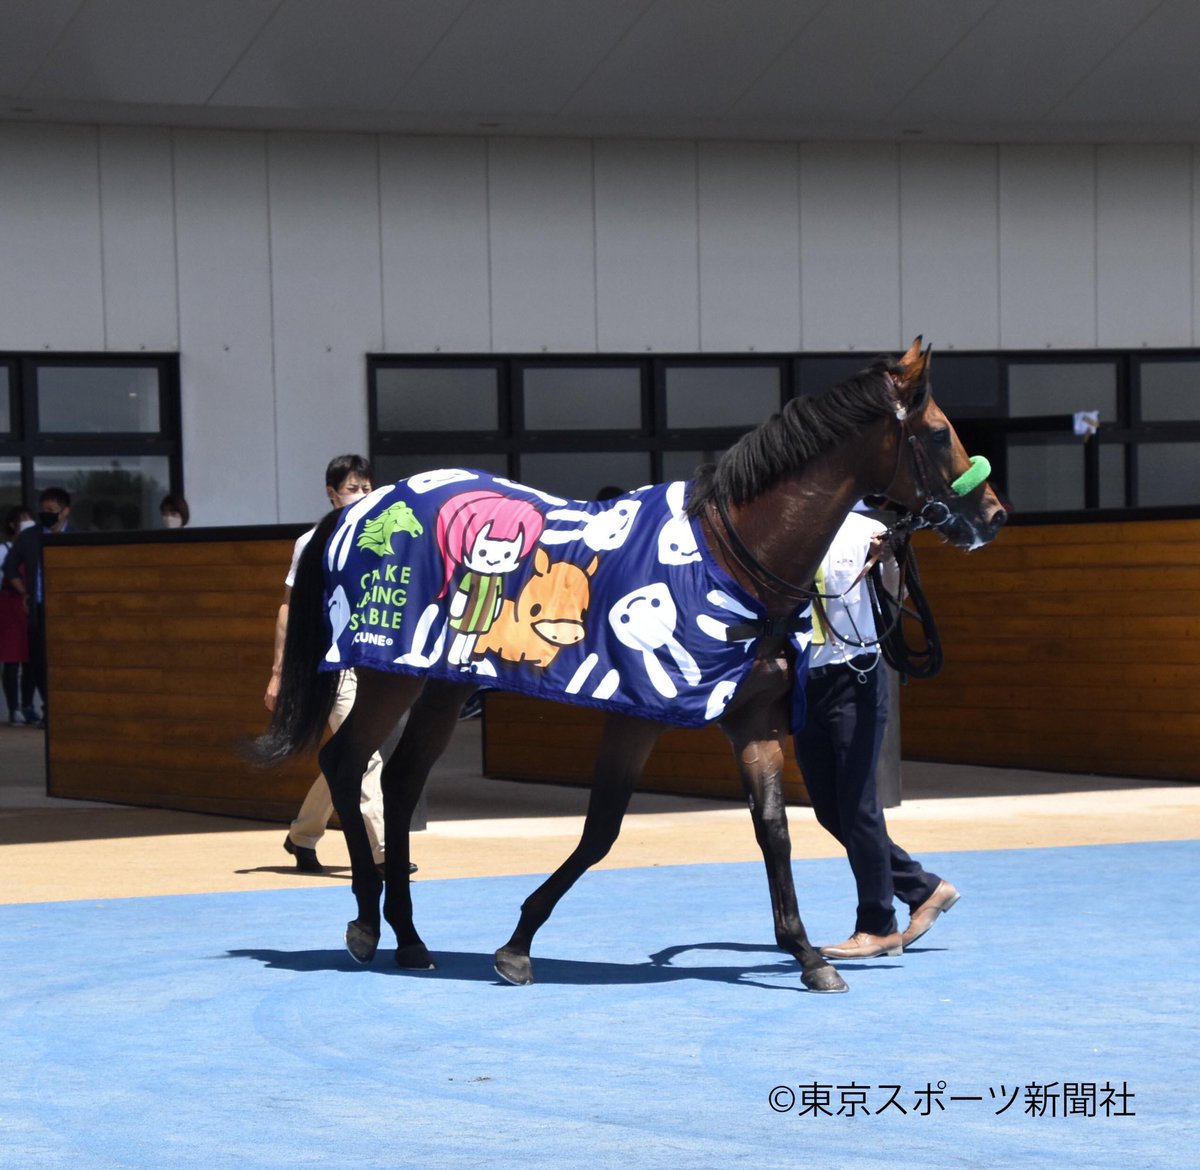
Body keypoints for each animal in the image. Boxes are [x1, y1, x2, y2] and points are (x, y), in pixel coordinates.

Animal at [260, 336, 1003, 988]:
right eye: (939, 433)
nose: (992, 514)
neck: (728, 560)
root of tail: (363, 506)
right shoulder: (638, 713)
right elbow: (601, 831)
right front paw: (518, 945)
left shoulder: (753, 718)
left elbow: (773, 831)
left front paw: (807, 955)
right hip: (387, 674)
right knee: (345, 763)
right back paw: (365, 925)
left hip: (441, 683)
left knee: (400, 781)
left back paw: (410, 939)